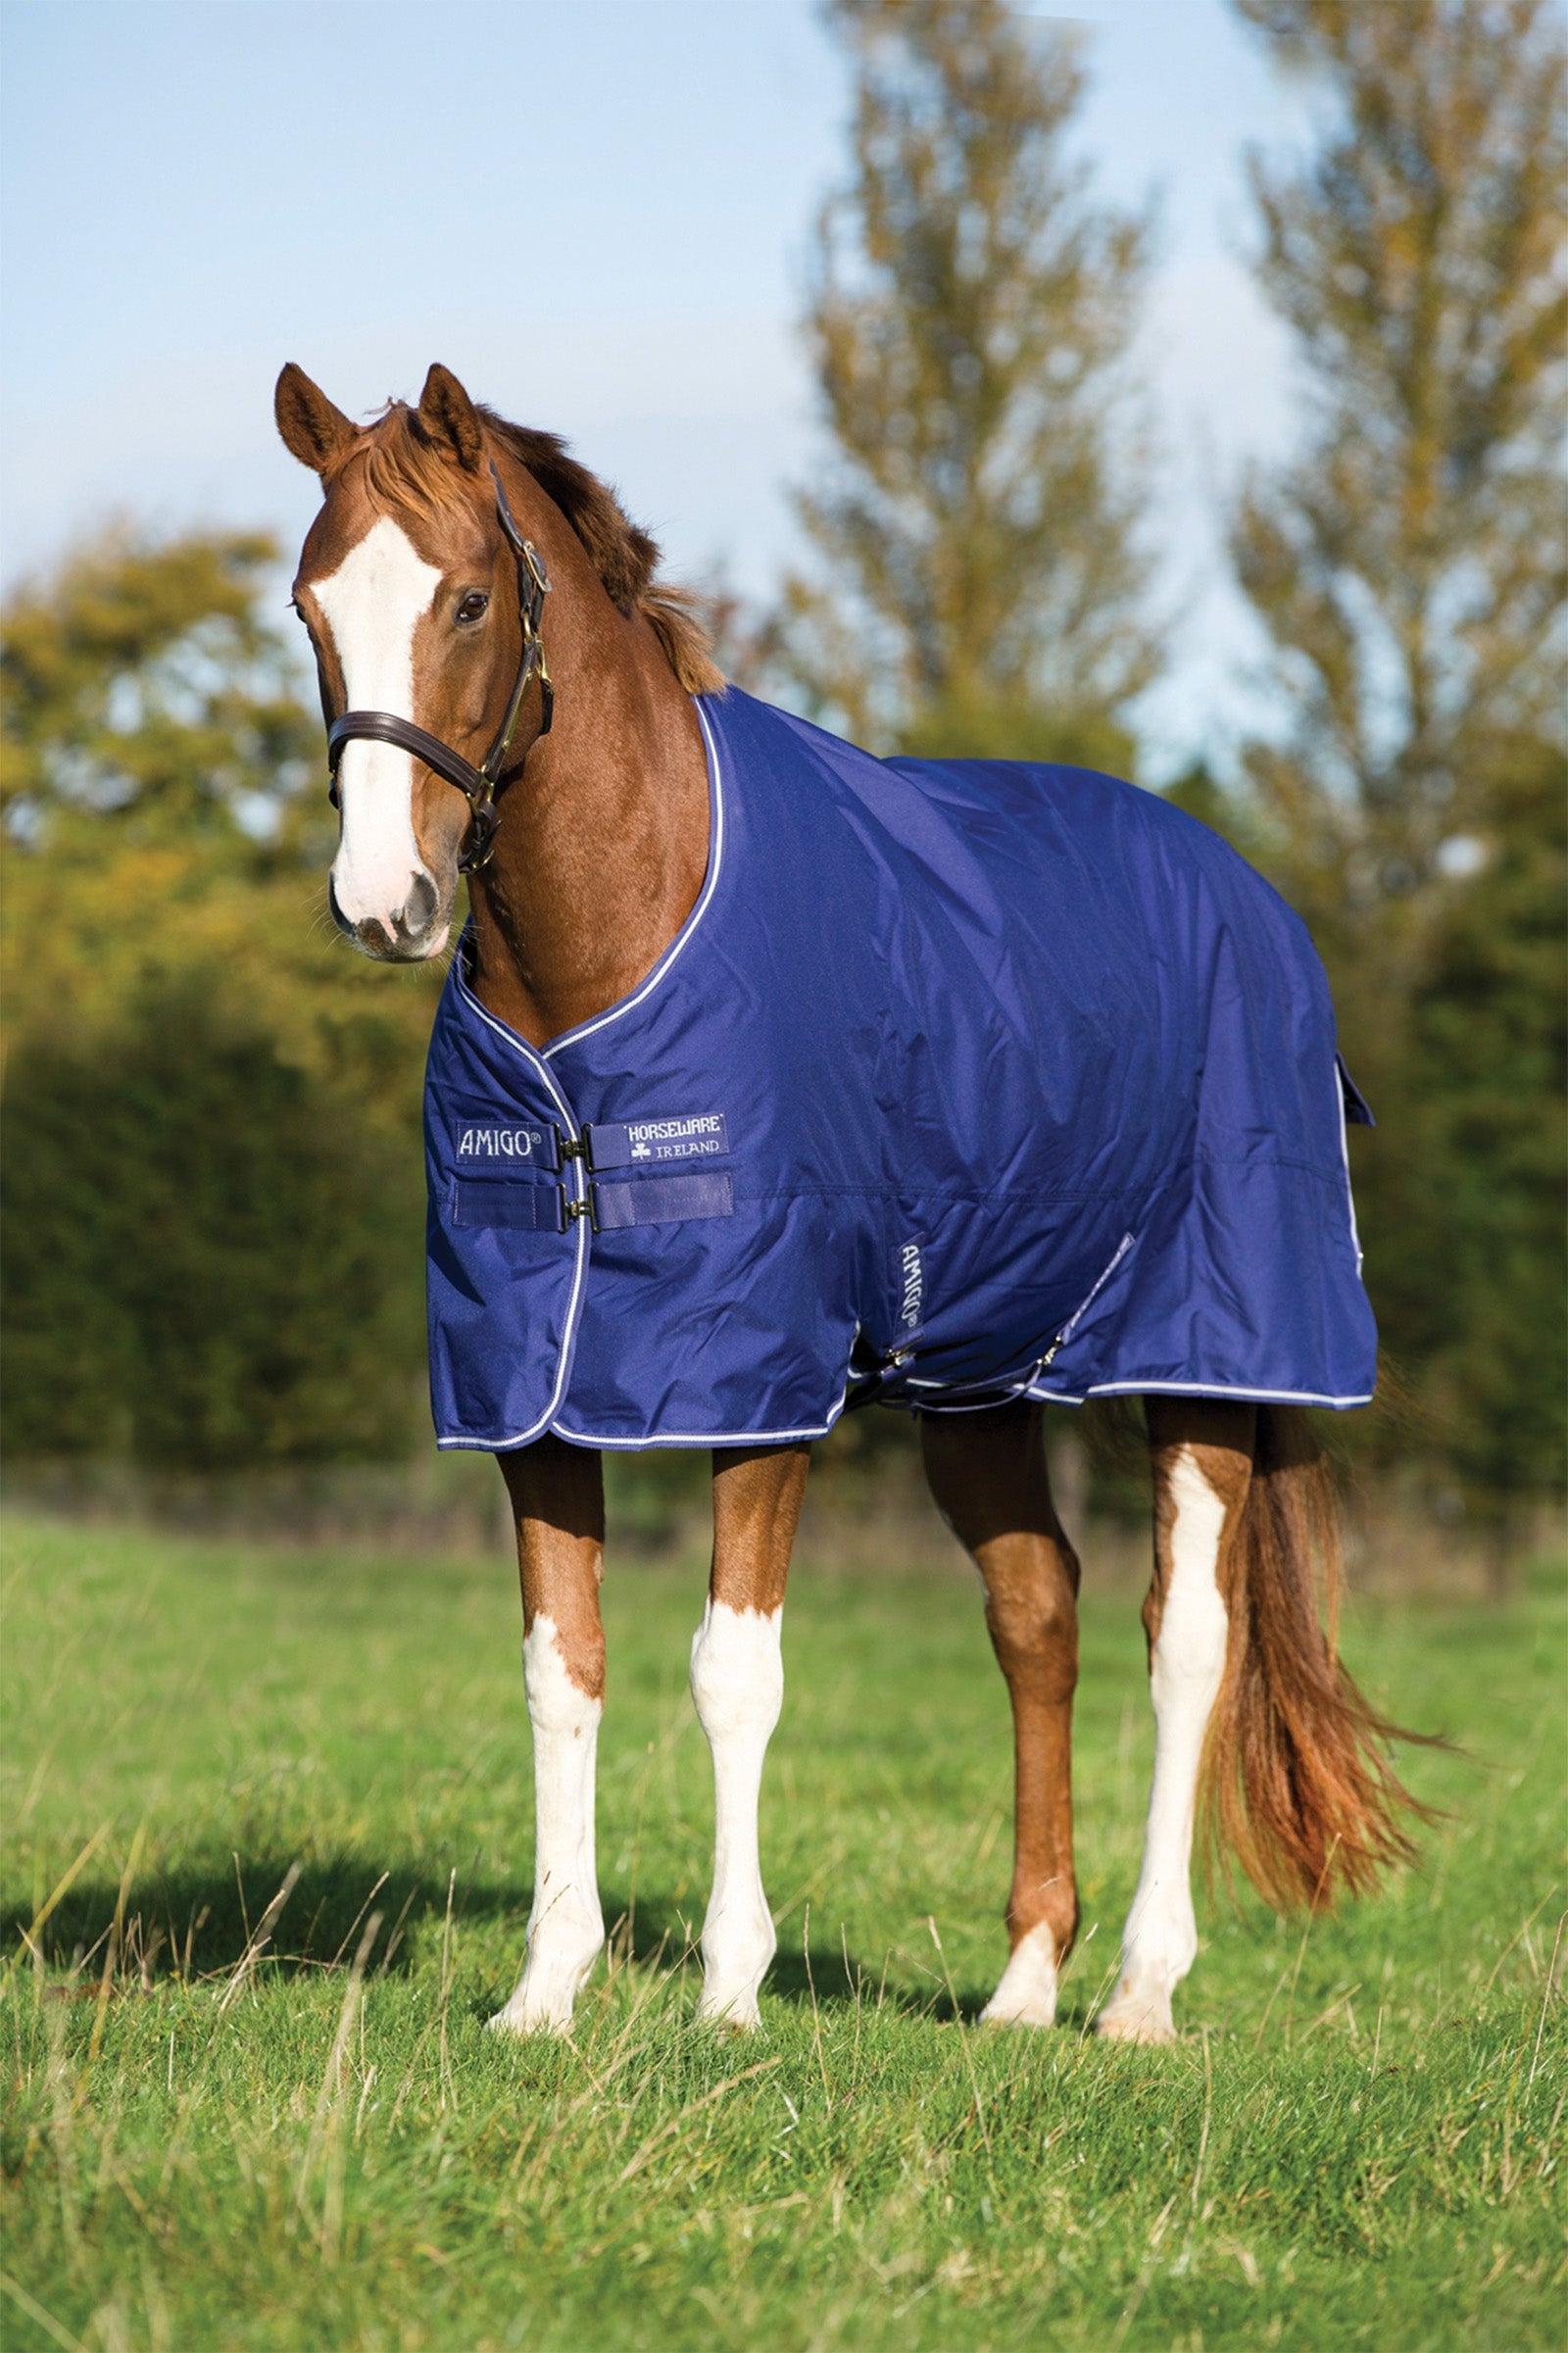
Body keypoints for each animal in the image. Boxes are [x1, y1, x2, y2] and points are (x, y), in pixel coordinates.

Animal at [276, 360, 1420, 2043]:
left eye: (471, 600)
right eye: (309, 609)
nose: (383, 903)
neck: (609, 953)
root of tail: (1254, 899)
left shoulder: (757, 1379)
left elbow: (730, 1671)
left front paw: (727, 1991)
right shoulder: (530, 1387)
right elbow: (565, 1667)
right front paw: (545, 1990)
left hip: (1208, 1353)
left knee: (1186, 1640)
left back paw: (1141, 1990)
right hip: (977, 1377)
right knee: (1039, 1613)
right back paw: (1022, 1985)